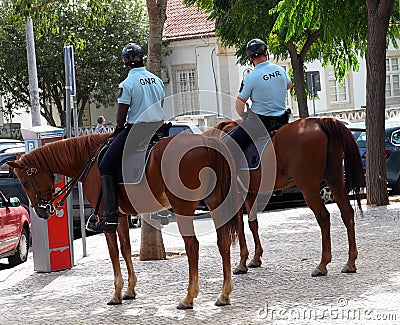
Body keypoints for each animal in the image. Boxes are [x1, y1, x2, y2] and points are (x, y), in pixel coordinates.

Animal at [7, 131, 241, 306]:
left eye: (25, 182)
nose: (41, 212)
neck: (90, 160)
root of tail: (206, 141)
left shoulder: (106, 217)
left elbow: (113, 251)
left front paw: (117, 293)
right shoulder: (120, 216)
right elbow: (126, 248)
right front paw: (130, 289)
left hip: (183, 207)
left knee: (192, 245)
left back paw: (189, 297)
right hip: (215, 202)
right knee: (223, 242)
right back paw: (224, 294)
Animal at [205, 117, 364, 274]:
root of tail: (319, 121)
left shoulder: (238, 194)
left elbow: (240, 226)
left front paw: (242, 262)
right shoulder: (250, 193)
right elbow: (252, 223)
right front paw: (255, 259)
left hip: (309, 185)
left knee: (323, 216)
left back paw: (322, 265)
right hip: (334, 178)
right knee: (347, 212)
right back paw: (350, 262)